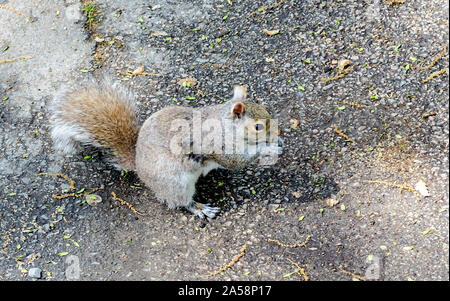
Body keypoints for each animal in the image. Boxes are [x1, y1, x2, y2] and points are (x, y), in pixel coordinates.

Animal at [50, 78, 282, 217]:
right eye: (257, 127)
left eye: (266, 109)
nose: (278, 133)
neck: (225, 125)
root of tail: (139, 167)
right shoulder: (216, 144)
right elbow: (235, 161)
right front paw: (269, 148)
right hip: (175, 182)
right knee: (181, 201)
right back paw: (200, 208)